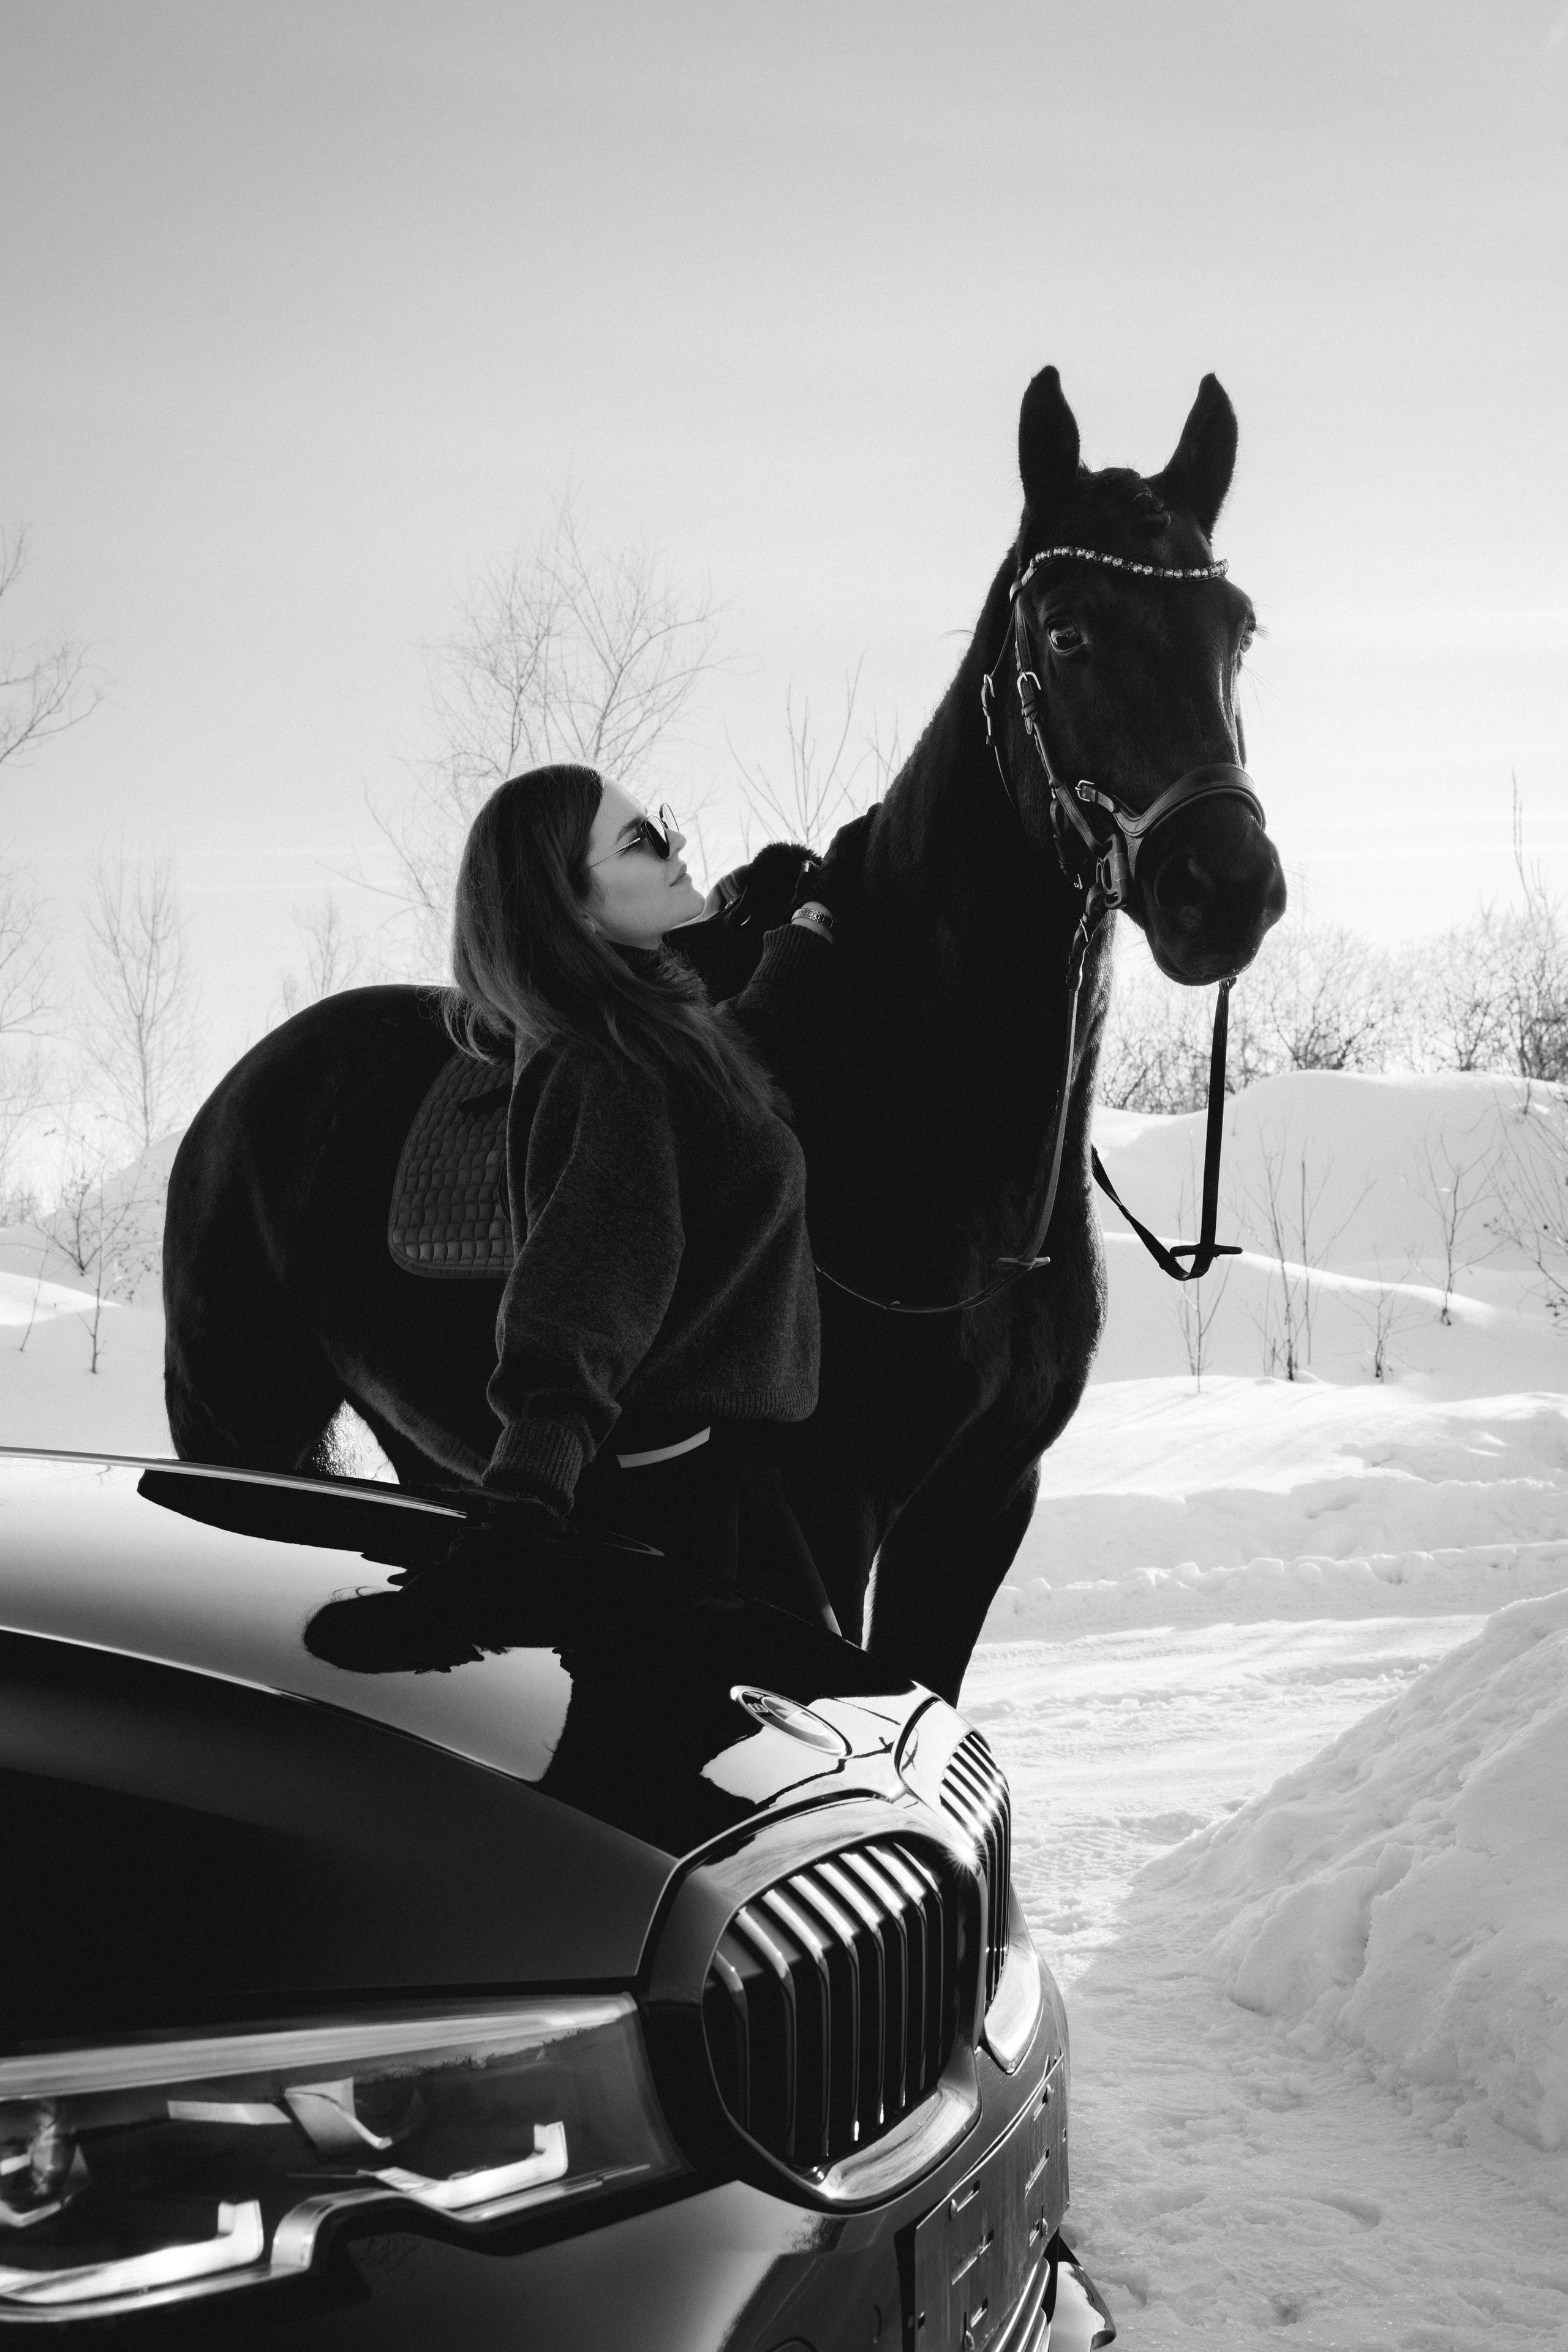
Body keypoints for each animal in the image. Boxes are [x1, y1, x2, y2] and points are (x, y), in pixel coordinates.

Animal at [164, 365, 1285, 1703]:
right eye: (1067, 631)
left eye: (1236, 629)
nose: (1225, 887)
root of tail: (239, 1096)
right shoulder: (813, 1514)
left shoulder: (977, 1504)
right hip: (238, 1423)